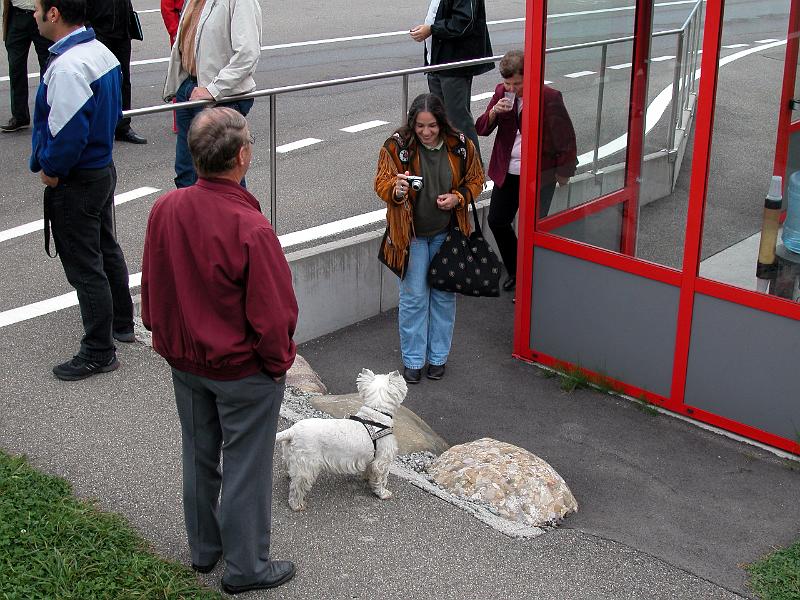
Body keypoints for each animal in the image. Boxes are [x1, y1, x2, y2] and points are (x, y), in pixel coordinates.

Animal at [278, 370, 410, 510]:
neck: (375, 417)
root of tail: (292, 431)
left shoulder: (370, 460)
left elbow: (369, 471)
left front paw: (366, 479)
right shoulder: (382, 461)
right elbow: (380, 479)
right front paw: (383, 494)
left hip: (291, 455)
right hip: (308, 464)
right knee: (297, 486)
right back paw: (297, 505)